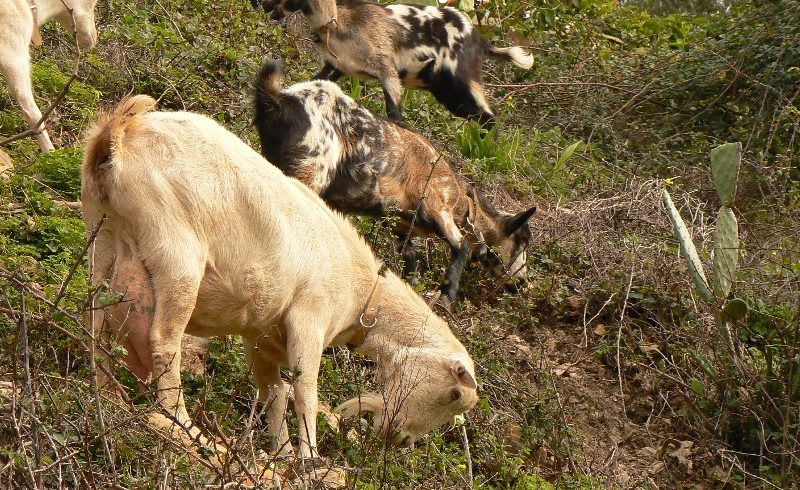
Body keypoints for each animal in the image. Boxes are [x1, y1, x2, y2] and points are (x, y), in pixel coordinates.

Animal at [83, 96, 482, 460]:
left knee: (95, 322)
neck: (362, 293)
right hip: (176, 254)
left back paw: (106, 398)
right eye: (454, 393)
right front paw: (309, 458)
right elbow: (305, 392)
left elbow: (273, 394)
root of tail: (118, 136)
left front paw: (283, 454)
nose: (398, 439)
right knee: (164, 343)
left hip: (103, 240)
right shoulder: (309, 320)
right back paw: (184, 427)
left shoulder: (260, 338)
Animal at [253, 0, 536, 128]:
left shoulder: (386, 70)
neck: (340, 22)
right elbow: (310, 83)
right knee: (481, 116)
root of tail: (481, 41)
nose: (261, 4)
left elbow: (394, 113)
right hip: (447, 93)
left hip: (462, 79)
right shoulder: (336, 66)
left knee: (491, 115)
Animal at [253, 60, 536, 306]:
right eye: (522, 241)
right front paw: (447, 299)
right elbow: (461, 246)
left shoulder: (401, 226)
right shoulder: (435, 203)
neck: (464, 203)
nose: (522, 283)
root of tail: (280, 100)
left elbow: (410, 259)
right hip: (311, 169)